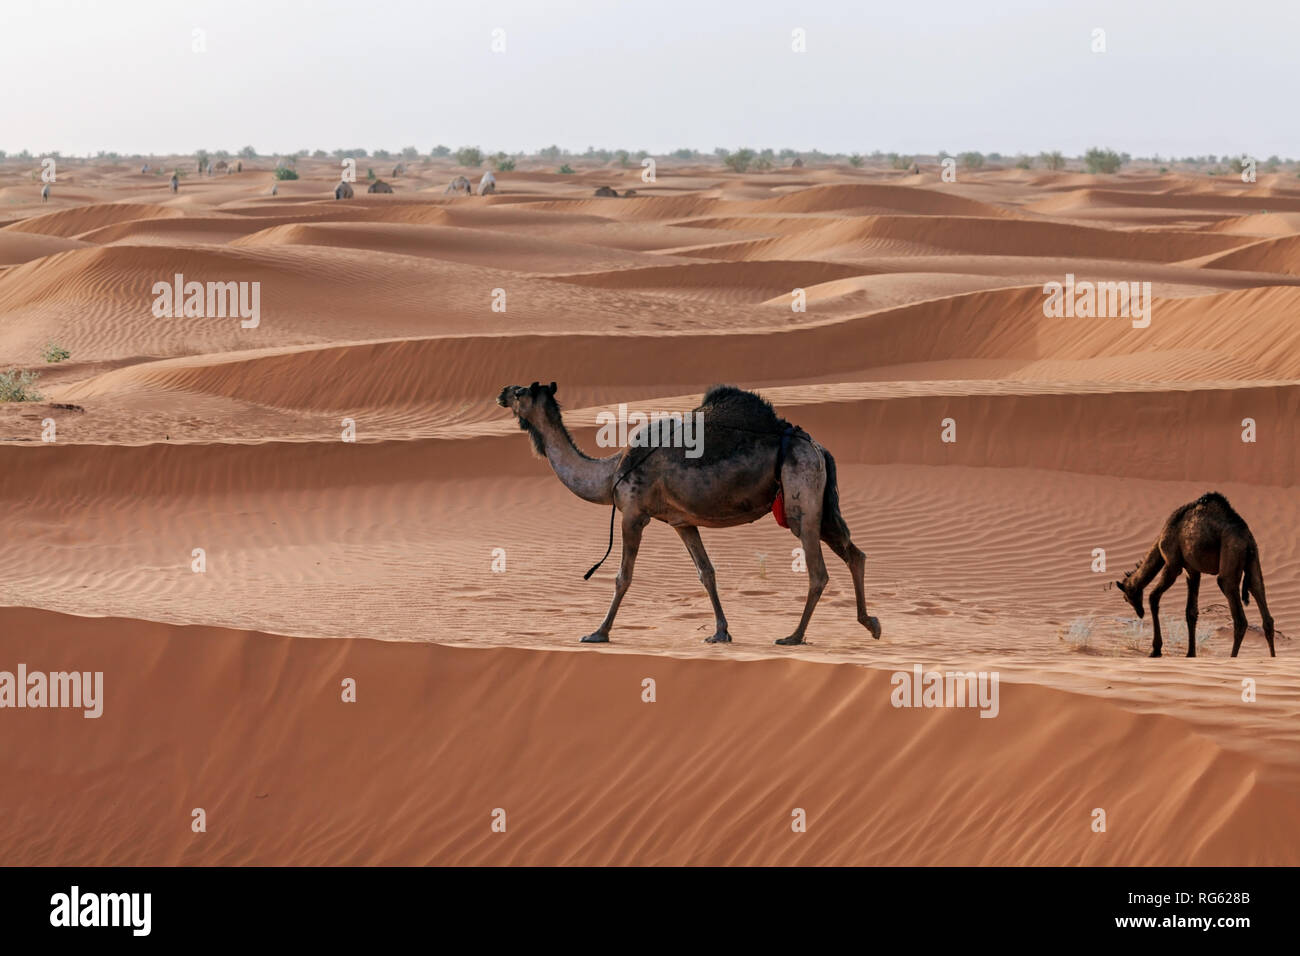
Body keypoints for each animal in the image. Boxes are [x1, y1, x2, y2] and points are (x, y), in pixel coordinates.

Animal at [496, 385, 883, 647]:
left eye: (520, 391)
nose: (501, 393)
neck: (610, 473)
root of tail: (816, 446)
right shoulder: (683, 522)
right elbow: (706, 573)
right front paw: (721, 632)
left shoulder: (633, 513)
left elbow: (623, 577)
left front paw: (598, 632)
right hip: (820, 506)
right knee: (855, 553)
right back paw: (870, 623)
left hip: (801, 499)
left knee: (818, 571)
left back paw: (794, 635)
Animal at [1112, 494, 1274, 658]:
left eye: (1126, 598)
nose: (1140, 612)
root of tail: (1246, 540)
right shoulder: (1193, 571)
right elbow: (1191, 612)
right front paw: (1191, 653)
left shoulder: (1173, 564)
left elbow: (1153, 597)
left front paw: (1156, 650)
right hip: (1253, 560)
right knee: (1261, 602)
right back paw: (1273, 656)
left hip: (1230, 556)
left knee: (1239, 618)